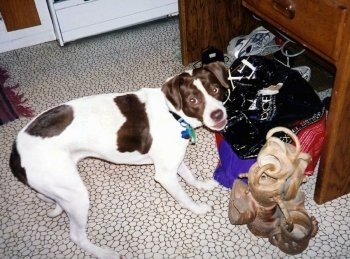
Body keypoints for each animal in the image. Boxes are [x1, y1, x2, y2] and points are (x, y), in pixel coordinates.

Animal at [8, 62, 230, 258]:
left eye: (215, 89)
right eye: (193, 100)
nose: (218, 114)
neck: (173, 113)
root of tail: (15, 152)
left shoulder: (172, 161)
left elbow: (189, 177)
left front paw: (201, 185)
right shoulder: (165, 175)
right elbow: (184, 197)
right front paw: (198, 208)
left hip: (60, 187)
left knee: (46, 196)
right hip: (76, 196)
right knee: (77, 236)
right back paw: (103, 253)